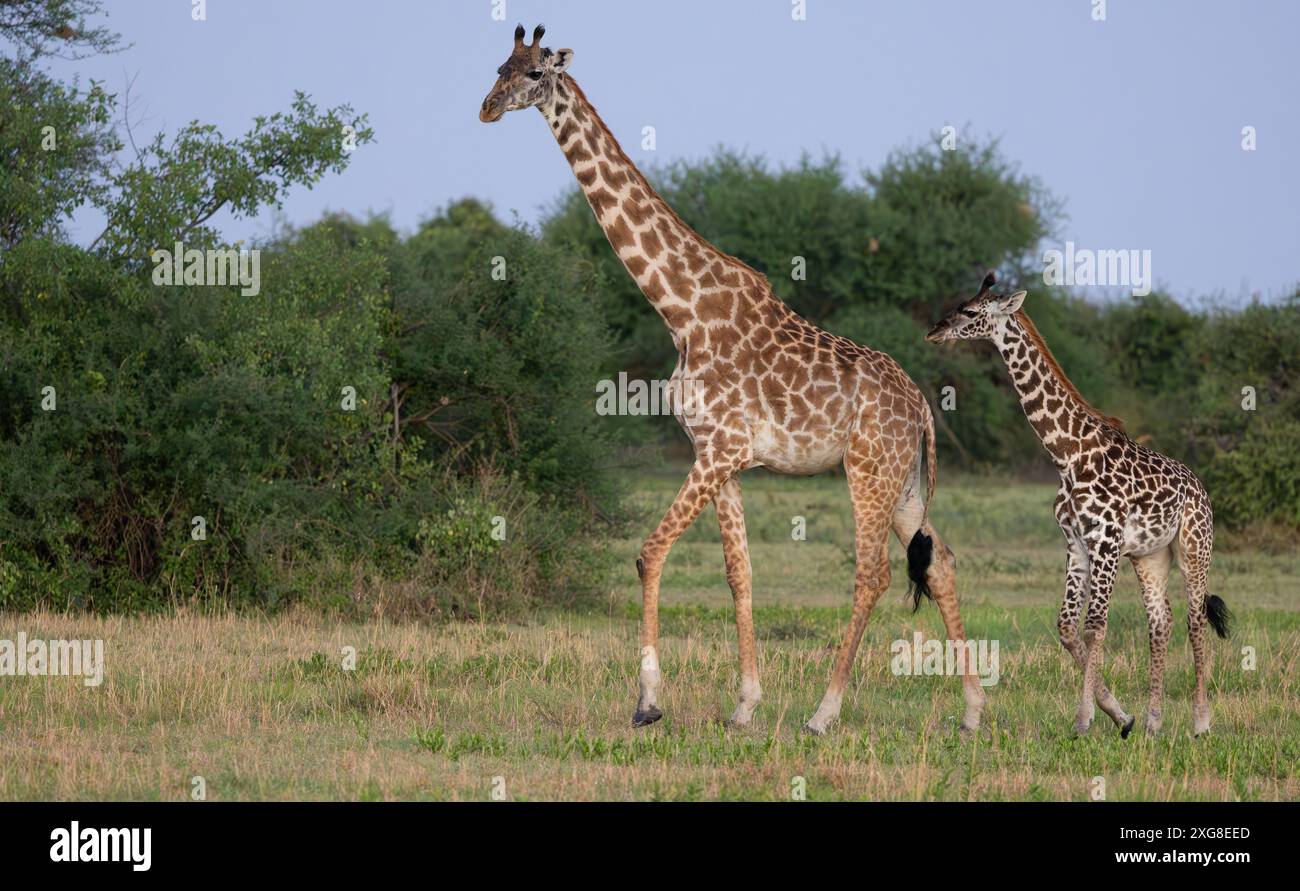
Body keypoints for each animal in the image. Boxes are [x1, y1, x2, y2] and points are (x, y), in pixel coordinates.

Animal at [479, 24, 986, 735]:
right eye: (498, 66)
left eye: (532, 74)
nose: (487, 108)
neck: (680, 309)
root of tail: (922, 408)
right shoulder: (719, 453)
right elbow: (738, 573)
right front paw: (744, 705)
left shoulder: (719, 449)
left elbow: (650, 552)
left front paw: (649, 702)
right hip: (905, 481)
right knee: (940, 562)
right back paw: (972, 712)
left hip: (868, 469)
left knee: (873, 574)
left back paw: (824, 712)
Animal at [926, 272, 1232, 736]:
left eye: (971, 311)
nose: (935, 330)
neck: (1067, 454)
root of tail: (1202, 489)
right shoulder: (1076, 543)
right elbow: (1068, 627)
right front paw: (1120, 714)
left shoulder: (1105, 541)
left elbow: (1094, 628)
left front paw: (1084, 719)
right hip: (1150, 556)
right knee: (1160, 622)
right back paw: (1154, 724)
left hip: (1194, 548)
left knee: (1195, 621)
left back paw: (1200, 723)